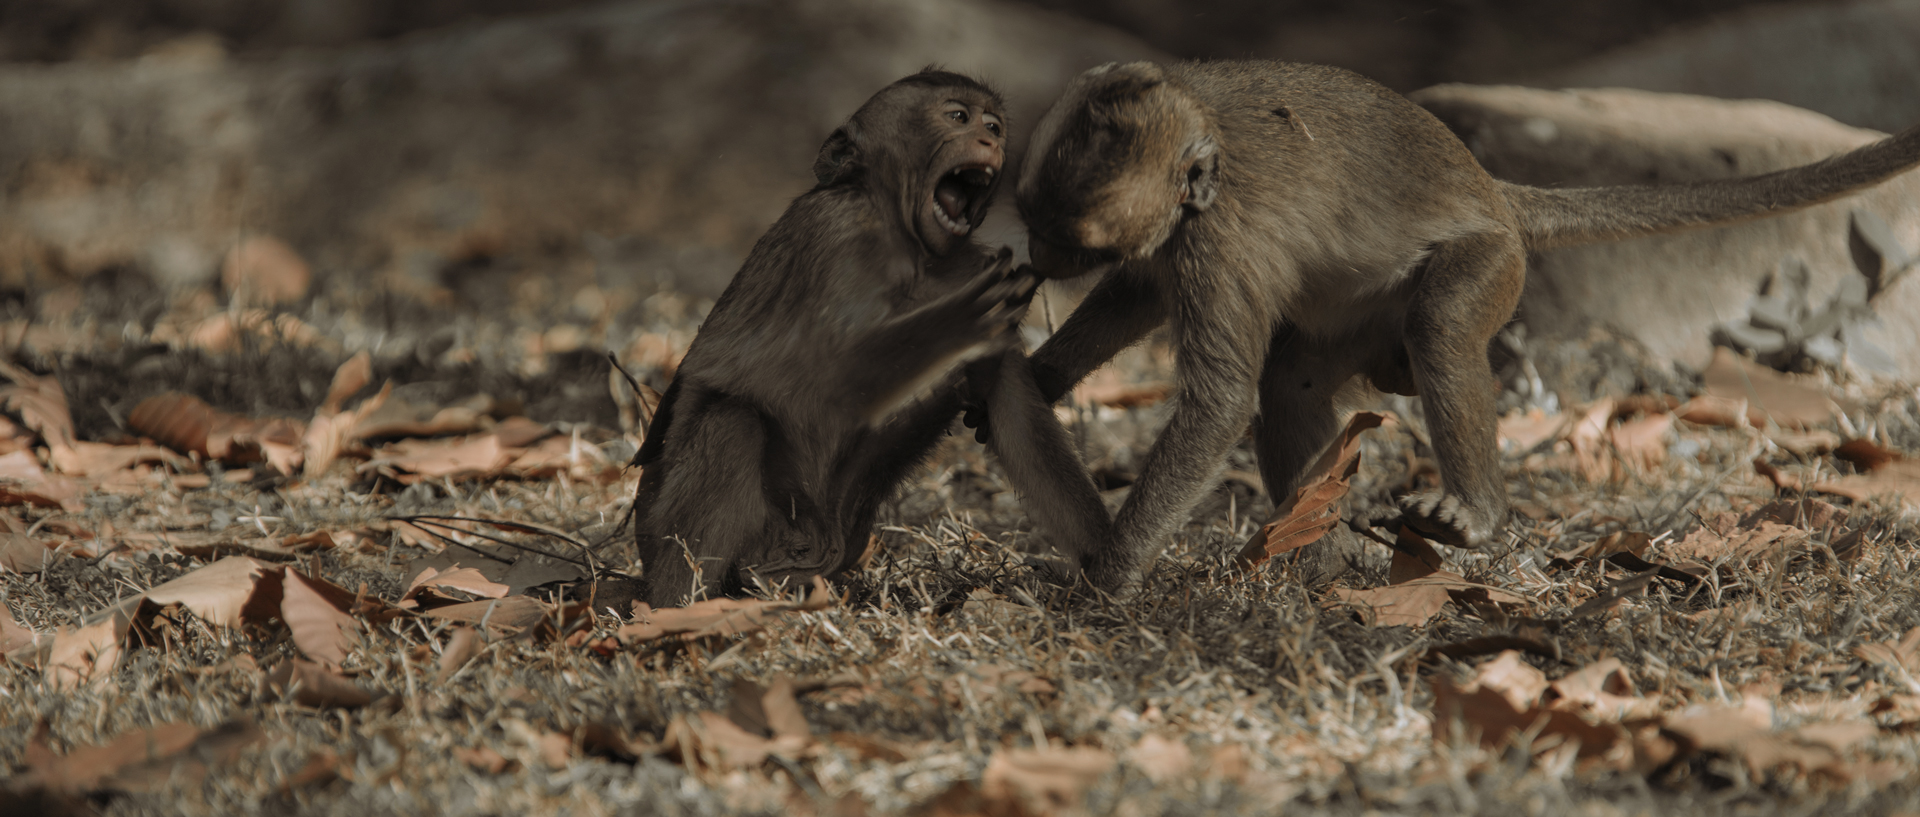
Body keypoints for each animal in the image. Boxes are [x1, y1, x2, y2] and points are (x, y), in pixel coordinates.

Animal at [633, 70, 1113, 606]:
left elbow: (1014, 411)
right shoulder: (838, 235)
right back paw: (676, 607)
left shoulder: (969, 264)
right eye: (959, 117)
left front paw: (1109, 564)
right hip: (697, 530)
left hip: (824, 539)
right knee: (732, 423)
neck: (907, 242)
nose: (990, 140)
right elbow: (818, 375)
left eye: (993, 125)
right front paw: (956, 320)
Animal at [990, 60, 1920, 590]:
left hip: (1491, 260)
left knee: (1438, 322)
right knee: (1293, 380)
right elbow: (1135, 298)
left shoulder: (1215, 240)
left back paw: (1470, 512)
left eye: (1064, 235)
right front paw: (1038, 378)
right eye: (1032, 220)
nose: (1033, 253)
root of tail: (1493, 191)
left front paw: (1110, 573)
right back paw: (1312, 554)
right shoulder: (1179, 240)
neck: (1203, 142)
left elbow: (1216, 401)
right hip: (1364, 313)